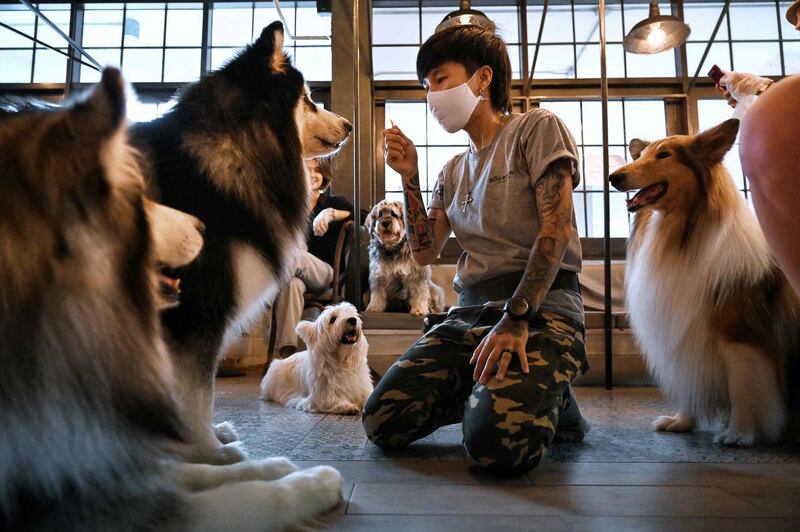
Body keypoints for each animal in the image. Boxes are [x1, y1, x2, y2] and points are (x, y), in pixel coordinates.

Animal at [608, 119, 796, 444]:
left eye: (664, 155)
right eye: (641, 154)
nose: (613, 177)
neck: (681, 235)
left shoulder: (740, 334)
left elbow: (744, 385)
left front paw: (739, 432)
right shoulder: (683, 331)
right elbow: (689, 382)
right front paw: (681, 421)